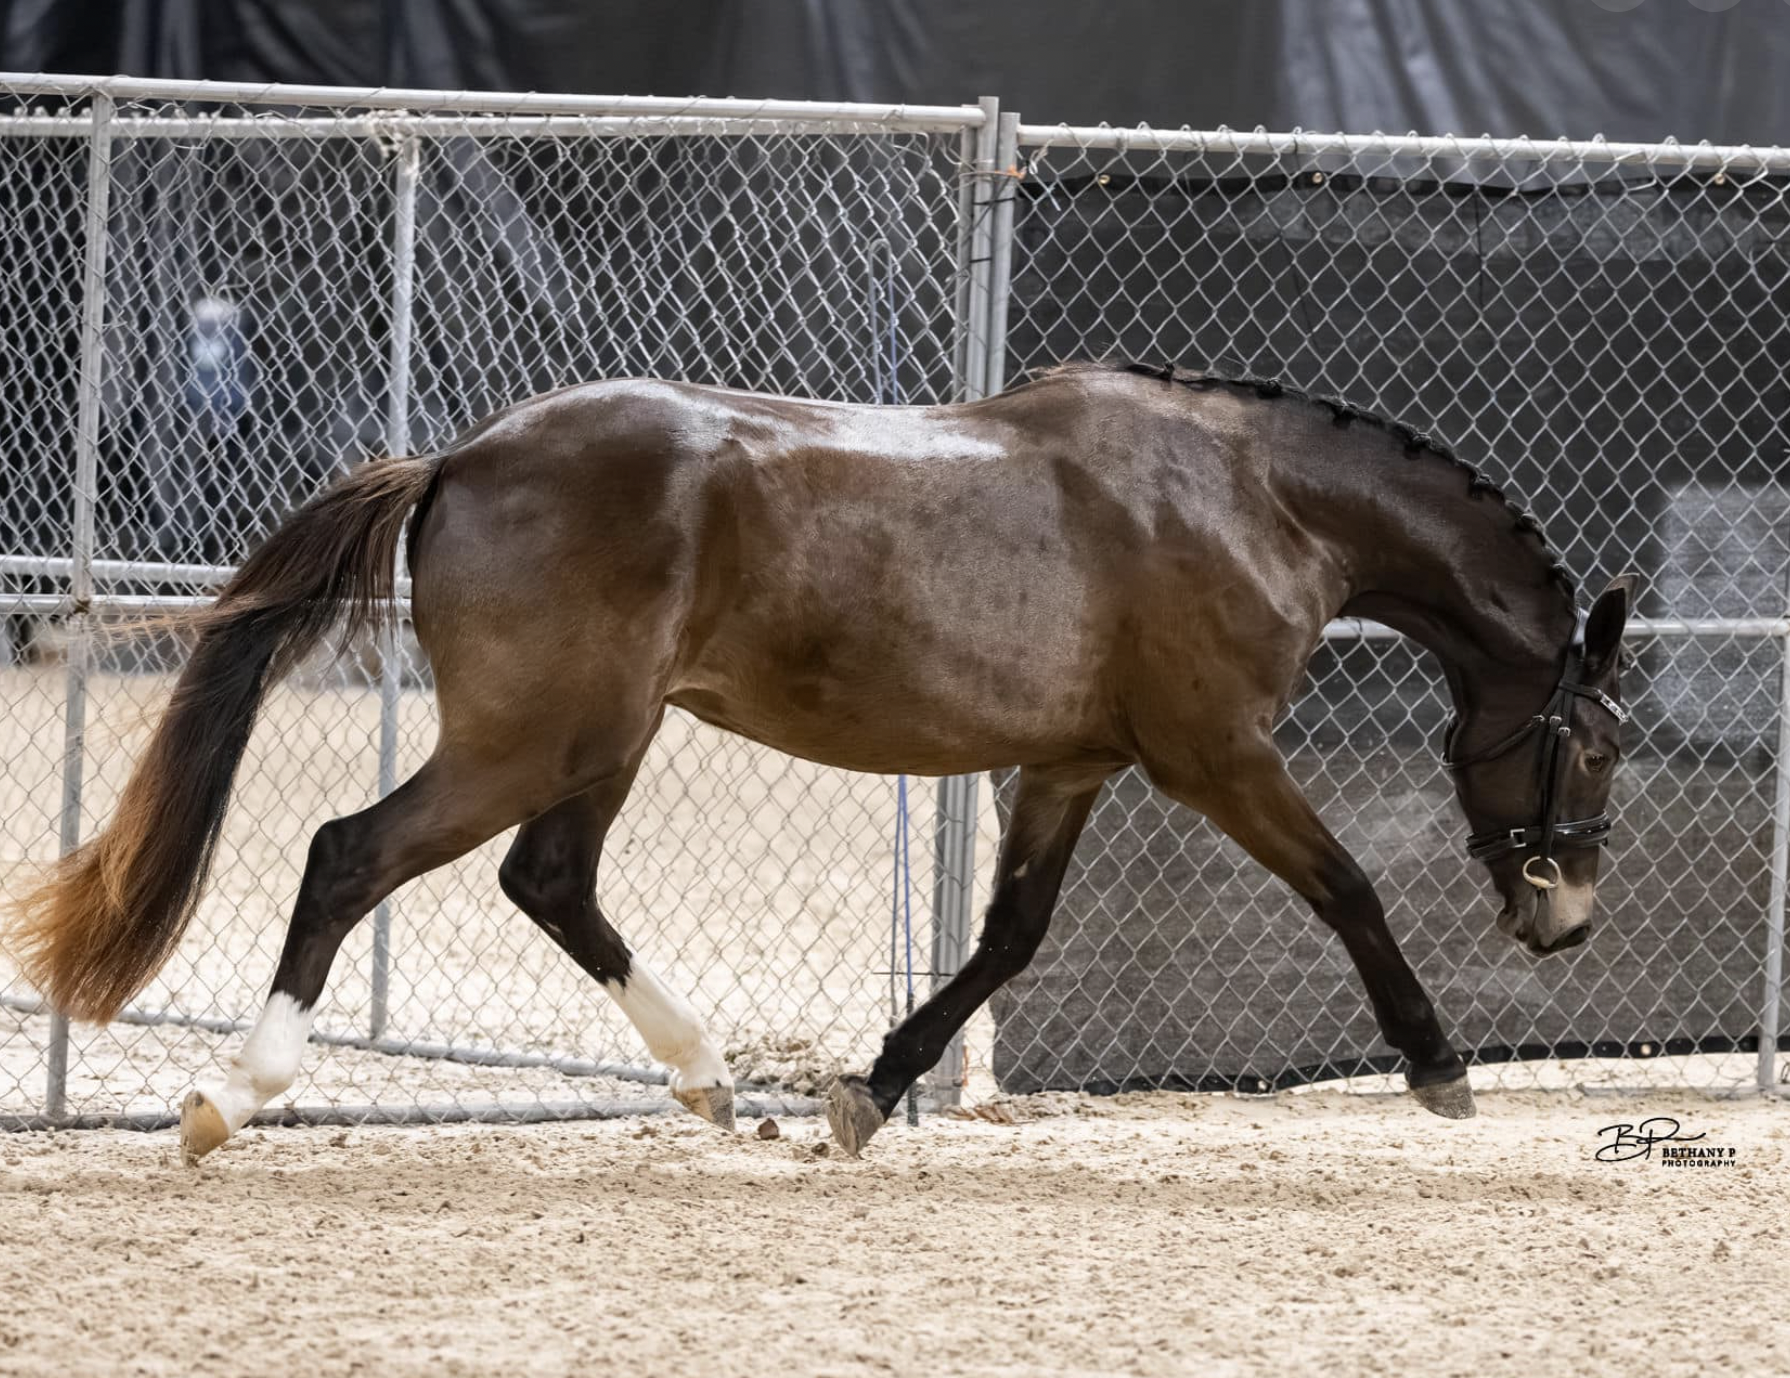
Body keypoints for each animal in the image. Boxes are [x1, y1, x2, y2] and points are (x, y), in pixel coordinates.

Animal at [4, 361, 1634, 1160]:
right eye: (1595, 743)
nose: (1565, 918)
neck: (1245, 498)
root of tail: (459, 459)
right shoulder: (1213, 756)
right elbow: (1347, 887)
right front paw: (1438, 1067)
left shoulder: (1071, 766)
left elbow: (1009, 937)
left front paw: (869, 1089)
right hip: (536, 735)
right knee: (354, 853)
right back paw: (233, 1097)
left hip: (602, 739)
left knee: (551, 882)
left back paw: (716, 1082)